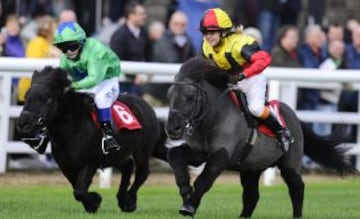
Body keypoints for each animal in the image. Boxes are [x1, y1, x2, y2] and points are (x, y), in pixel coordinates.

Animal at [16, 66, 168, 212]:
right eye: (26, 96)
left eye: (47, 98)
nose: (23, 123)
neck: (73, 128)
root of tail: (149, 107)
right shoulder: (66, 165)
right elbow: (77, 188)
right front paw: (92, 202)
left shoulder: (90, 162)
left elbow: (79, 190)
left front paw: (95, 200)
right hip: (116, 154)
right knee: (128, 166)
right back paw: (122, 198)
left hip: (142, 149)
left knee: (142, 172)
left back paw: (128, 201)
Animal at [166, 57, 358, 218]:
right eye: (169, 94)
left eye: (190, 96)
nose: (172, 128)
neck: (212, 116)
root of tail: (294, 116)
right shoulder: (200, 153)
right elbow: (175, 155)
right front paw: (185, 189)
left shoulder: (221, 155)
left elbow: (204, 179)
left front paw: (188, 206)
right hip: (251, 167)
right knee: (251, 196)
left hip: (290, 164)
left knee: (297, 188)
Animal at [200, 7, 292, 151]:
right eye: (205, 32)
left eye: (212, 31)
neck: (220, 44)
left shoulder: (241, 45)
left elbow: (262, 56)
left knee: (257, 109)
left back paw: (283, 136)